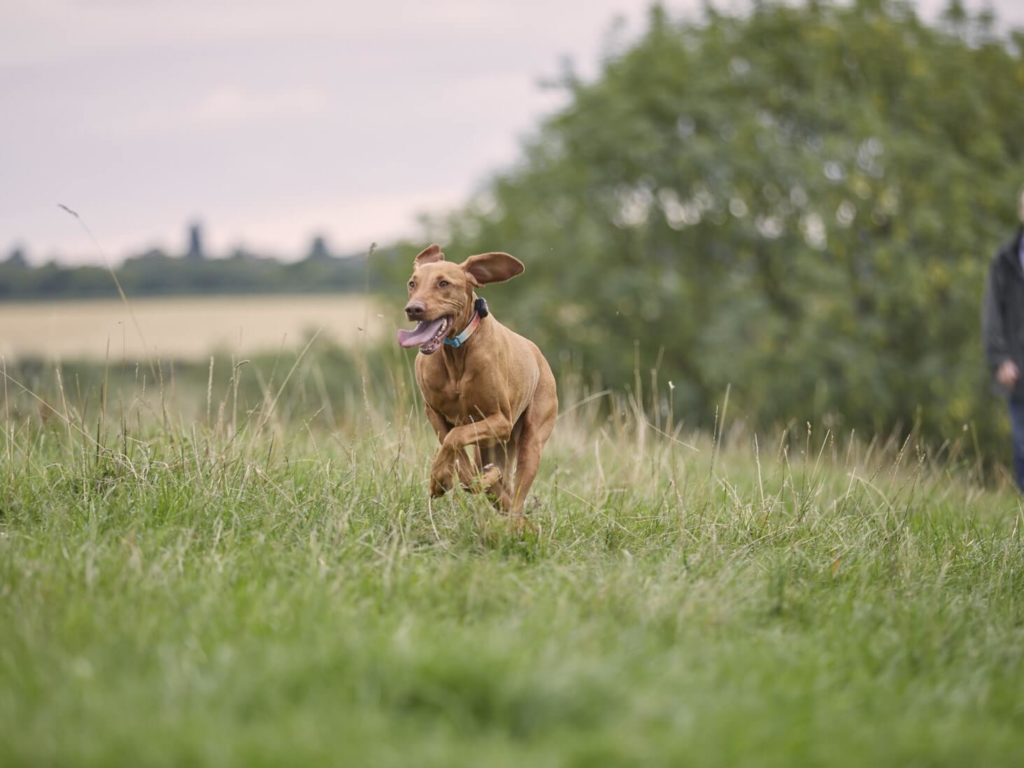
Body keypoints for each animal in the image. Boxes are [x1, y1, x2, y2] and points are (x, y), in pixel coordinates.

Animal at [399, 246, 561, 524]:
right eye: (412, 283)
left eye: (443, 283)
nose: (413, 309)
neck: (456, 352)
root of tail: (538, 354)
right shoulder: (434, 413)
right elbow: (453, 447)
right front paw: (442, 480)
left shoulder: (501, 421)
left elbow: (455, 438)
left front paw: (440, 479)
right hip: (490, 447)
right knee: (498, 489)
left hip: (530, 440)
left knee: (517, 500)